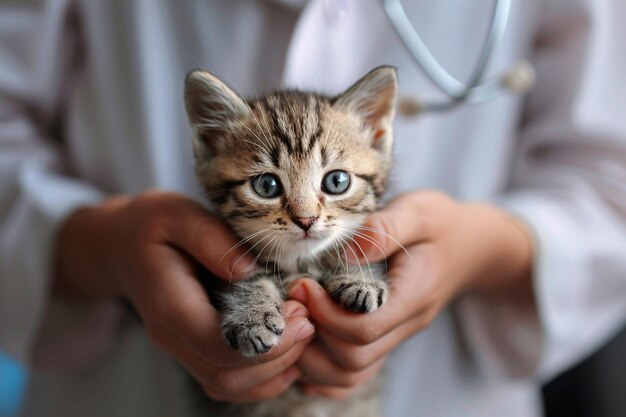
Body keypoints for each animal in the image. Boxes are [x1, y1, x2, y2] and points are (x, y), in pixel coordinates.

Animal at [183, 66, 398, 414]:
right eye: (266, 185)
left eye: (337, 181)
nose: (306, 220)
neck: (300, 263)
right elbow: (242, 277)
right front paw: (252, 315)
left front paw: (360, 278)